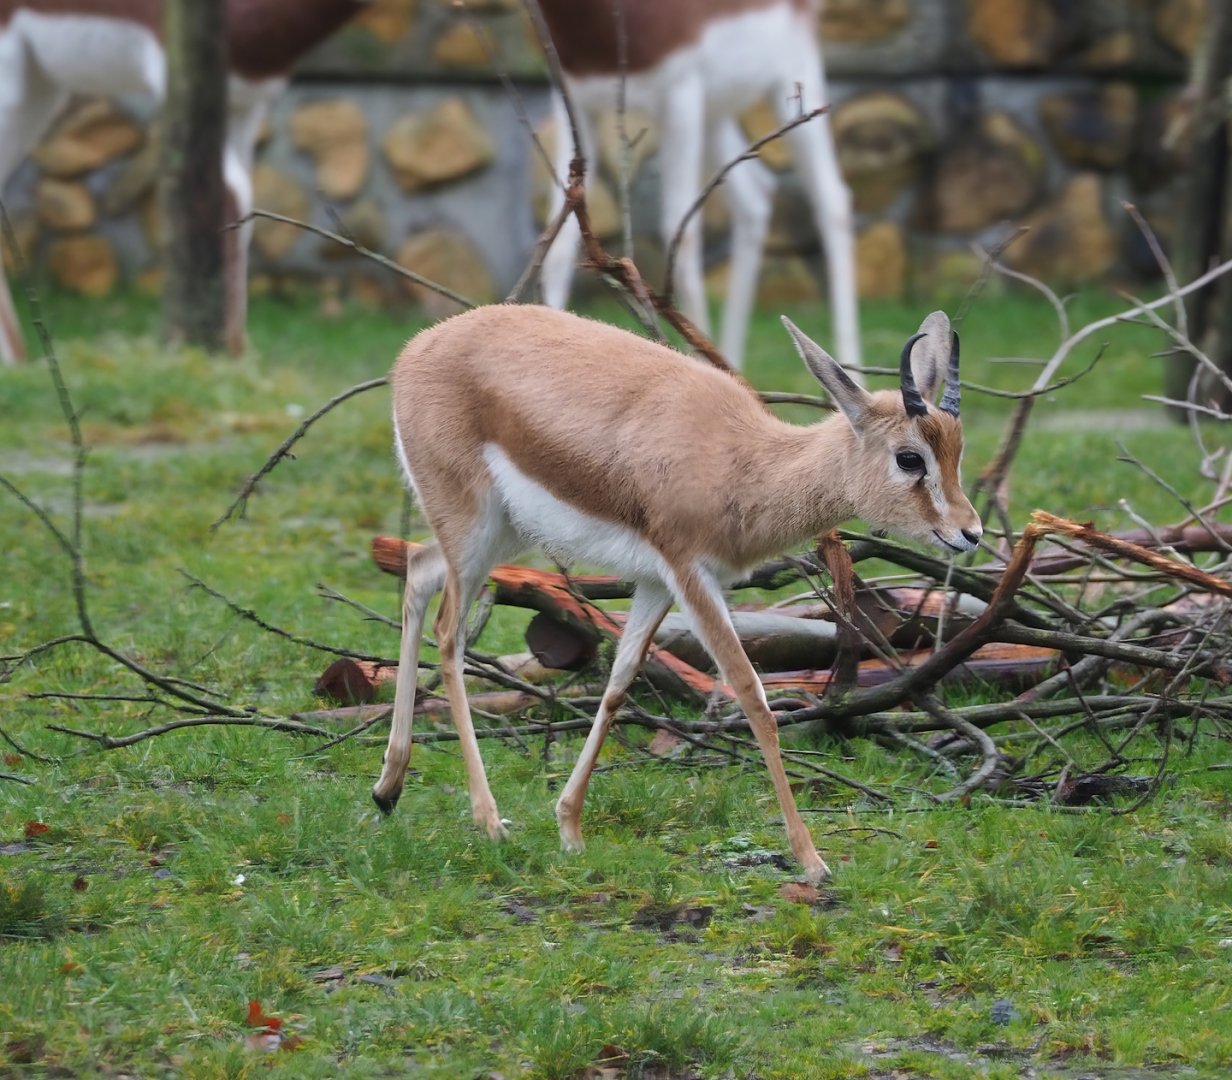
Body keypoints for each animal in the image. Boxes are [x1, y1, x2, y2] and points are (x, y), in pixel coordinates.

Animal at [0, 0, 365, 363]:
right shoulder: (170, 76)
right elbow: (230, 192)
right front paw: (222, 354)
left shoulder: (244, 104)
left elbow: (247, 203)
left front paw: (237, 350)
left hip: (42, 89)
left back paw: (19, 359)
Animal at [373, 304, 980, 882]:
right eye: (909, 457)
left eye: (957, 452)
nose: (971, 533)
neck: (740, 463)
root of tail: (418, 347)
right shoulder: (690, 573)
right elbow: (751, 694)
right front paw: (810, 859)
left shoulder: (655, 580)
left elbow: (619, 682)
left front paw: (569, 825)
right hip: (473, 526)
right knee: (449, 632)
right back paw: (488, 820)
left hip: (499, 532)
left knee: (417, 569)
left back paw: (388, 789)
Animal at [536, 0, 860, 374]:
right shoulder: (573, 102)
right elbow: (558, 245)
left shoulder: (682, 95)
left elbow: (682, 237)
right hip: (714, 117)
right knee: (754, 200)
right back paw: (732, 365)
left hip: (790, 82)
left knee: (832, 200)